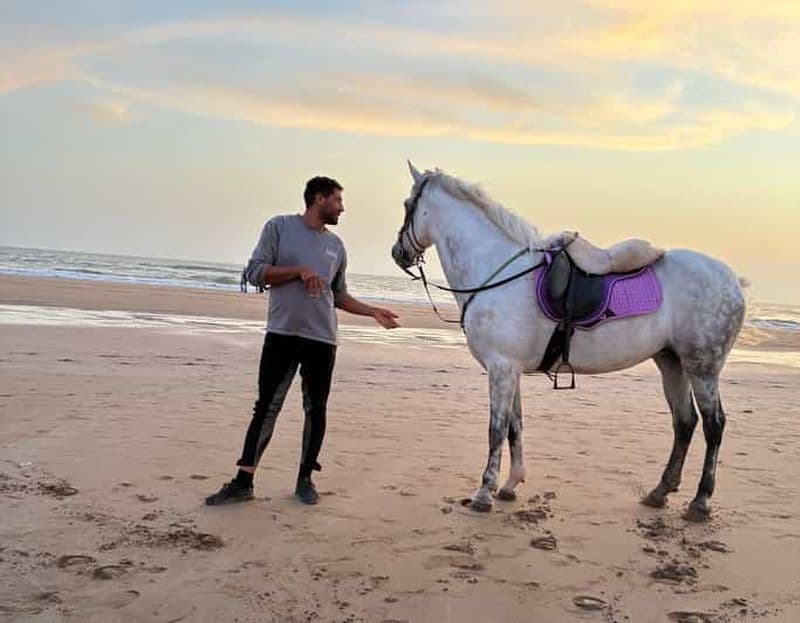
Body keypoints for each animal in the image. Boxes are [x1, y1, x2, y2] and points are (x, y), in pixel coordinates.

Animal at [391, 163, 746, 522]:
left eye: (407, 205)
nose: (398, 253)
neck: (497, 272)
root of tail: (734, 281)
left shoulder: (501, 368)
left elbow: (496, 430)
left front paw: (484, 493)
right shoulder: (510, 370)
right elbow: (515, 427)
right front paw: (510, 485)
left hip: (703, 369)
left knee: (713, 425)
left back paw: (700, 501)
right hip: (671, 362)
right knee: (684, 422)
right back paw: (659, 492)